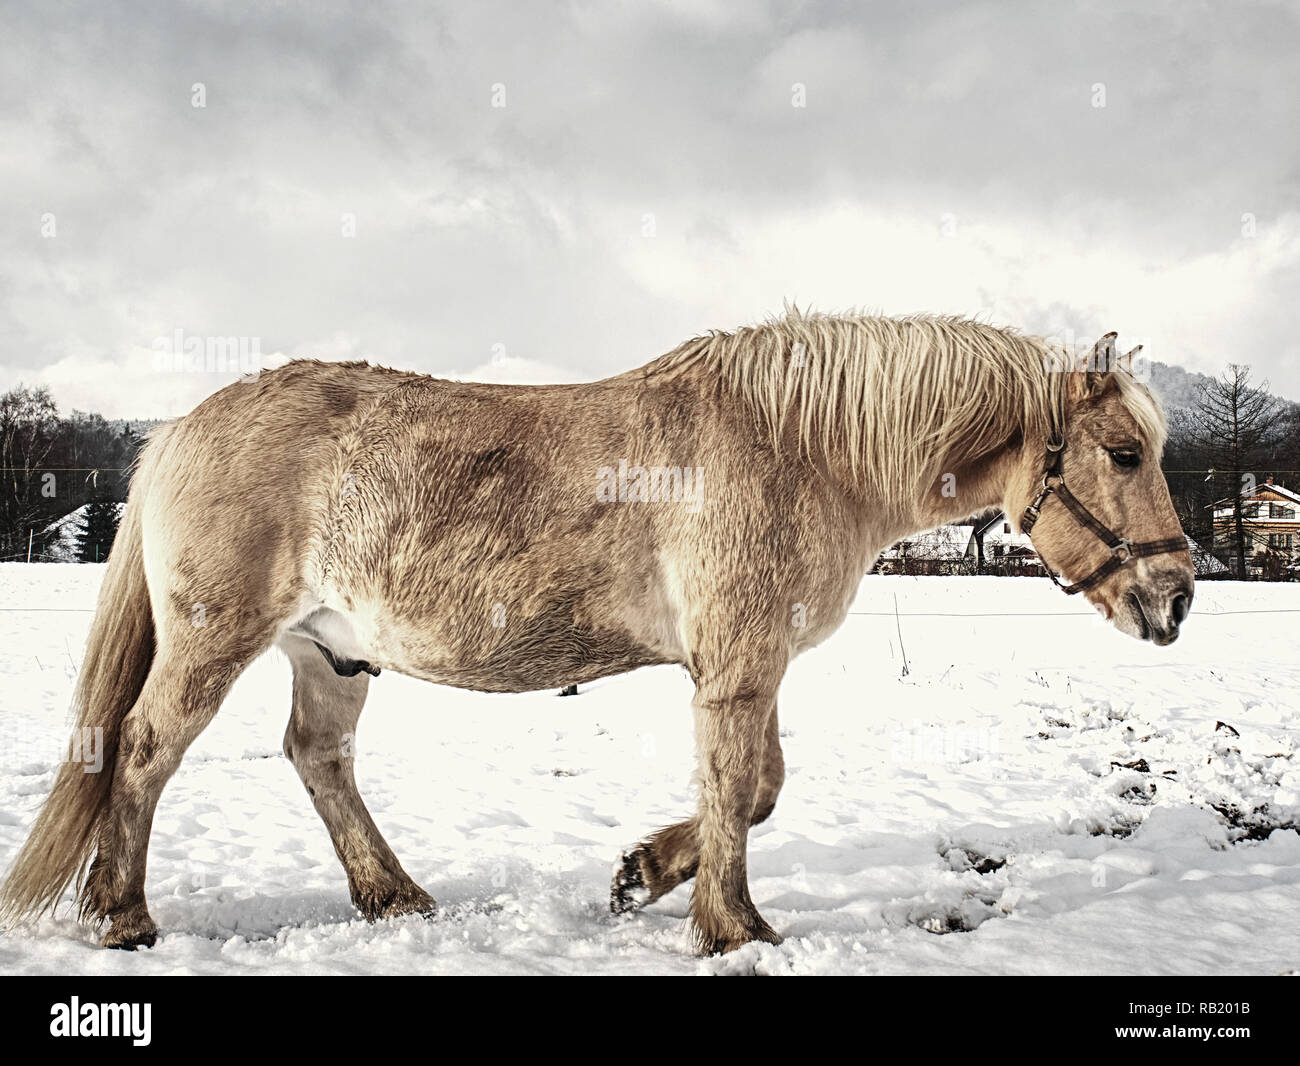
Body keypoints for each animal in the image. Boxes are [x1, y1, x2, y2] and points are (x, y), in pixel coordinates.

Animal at [0, 312, 1190, 951]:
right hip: (215, 641)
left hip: (330, 651)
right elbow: (737, 788)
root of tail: (177, 428)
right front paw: (732, 927)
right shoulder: (737, 666)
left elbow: (757, 790)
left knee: (317, 758)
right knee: (142, 750)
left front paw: (645, 874)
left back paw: (393, 895)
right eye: (1125, 452)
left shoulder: (747, 667)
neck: (799, 448)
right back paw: (123, 914)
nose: (1176, 595)